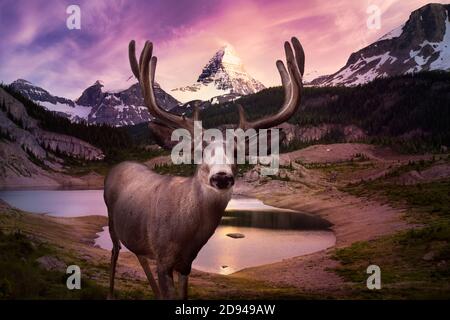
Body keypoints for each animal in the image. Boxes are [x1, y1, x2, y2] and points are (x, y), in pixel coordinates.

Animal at [103, 37, 304, 300]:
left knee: (138, 254)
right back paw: (110, 293)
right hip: (110, 217)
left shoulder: (186, 264)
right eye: (198, 152)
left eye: (237, 153)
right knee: (115, 250)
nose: (222, 177)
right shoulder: (163, 258)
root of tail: (118, 166)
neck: (184, 235)